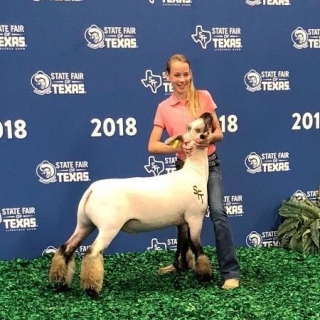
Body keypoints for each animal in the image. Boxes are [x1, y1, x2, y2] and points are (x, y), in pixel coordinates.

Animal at [50, 112, 214, 298]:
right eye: (196, 128)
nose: (207, 114)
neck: (194, 172)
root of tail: (91, 190)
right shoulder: (195, 218)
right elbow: (197, 247)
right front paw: (205, 276)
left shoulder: (183, 221)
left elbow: (184, 245)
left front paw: (184, 267)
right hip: (109, 226)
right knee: (92, 252)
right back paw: (92, 290)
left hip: (85, 223)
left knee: (66, 248)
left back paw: (60, 282)